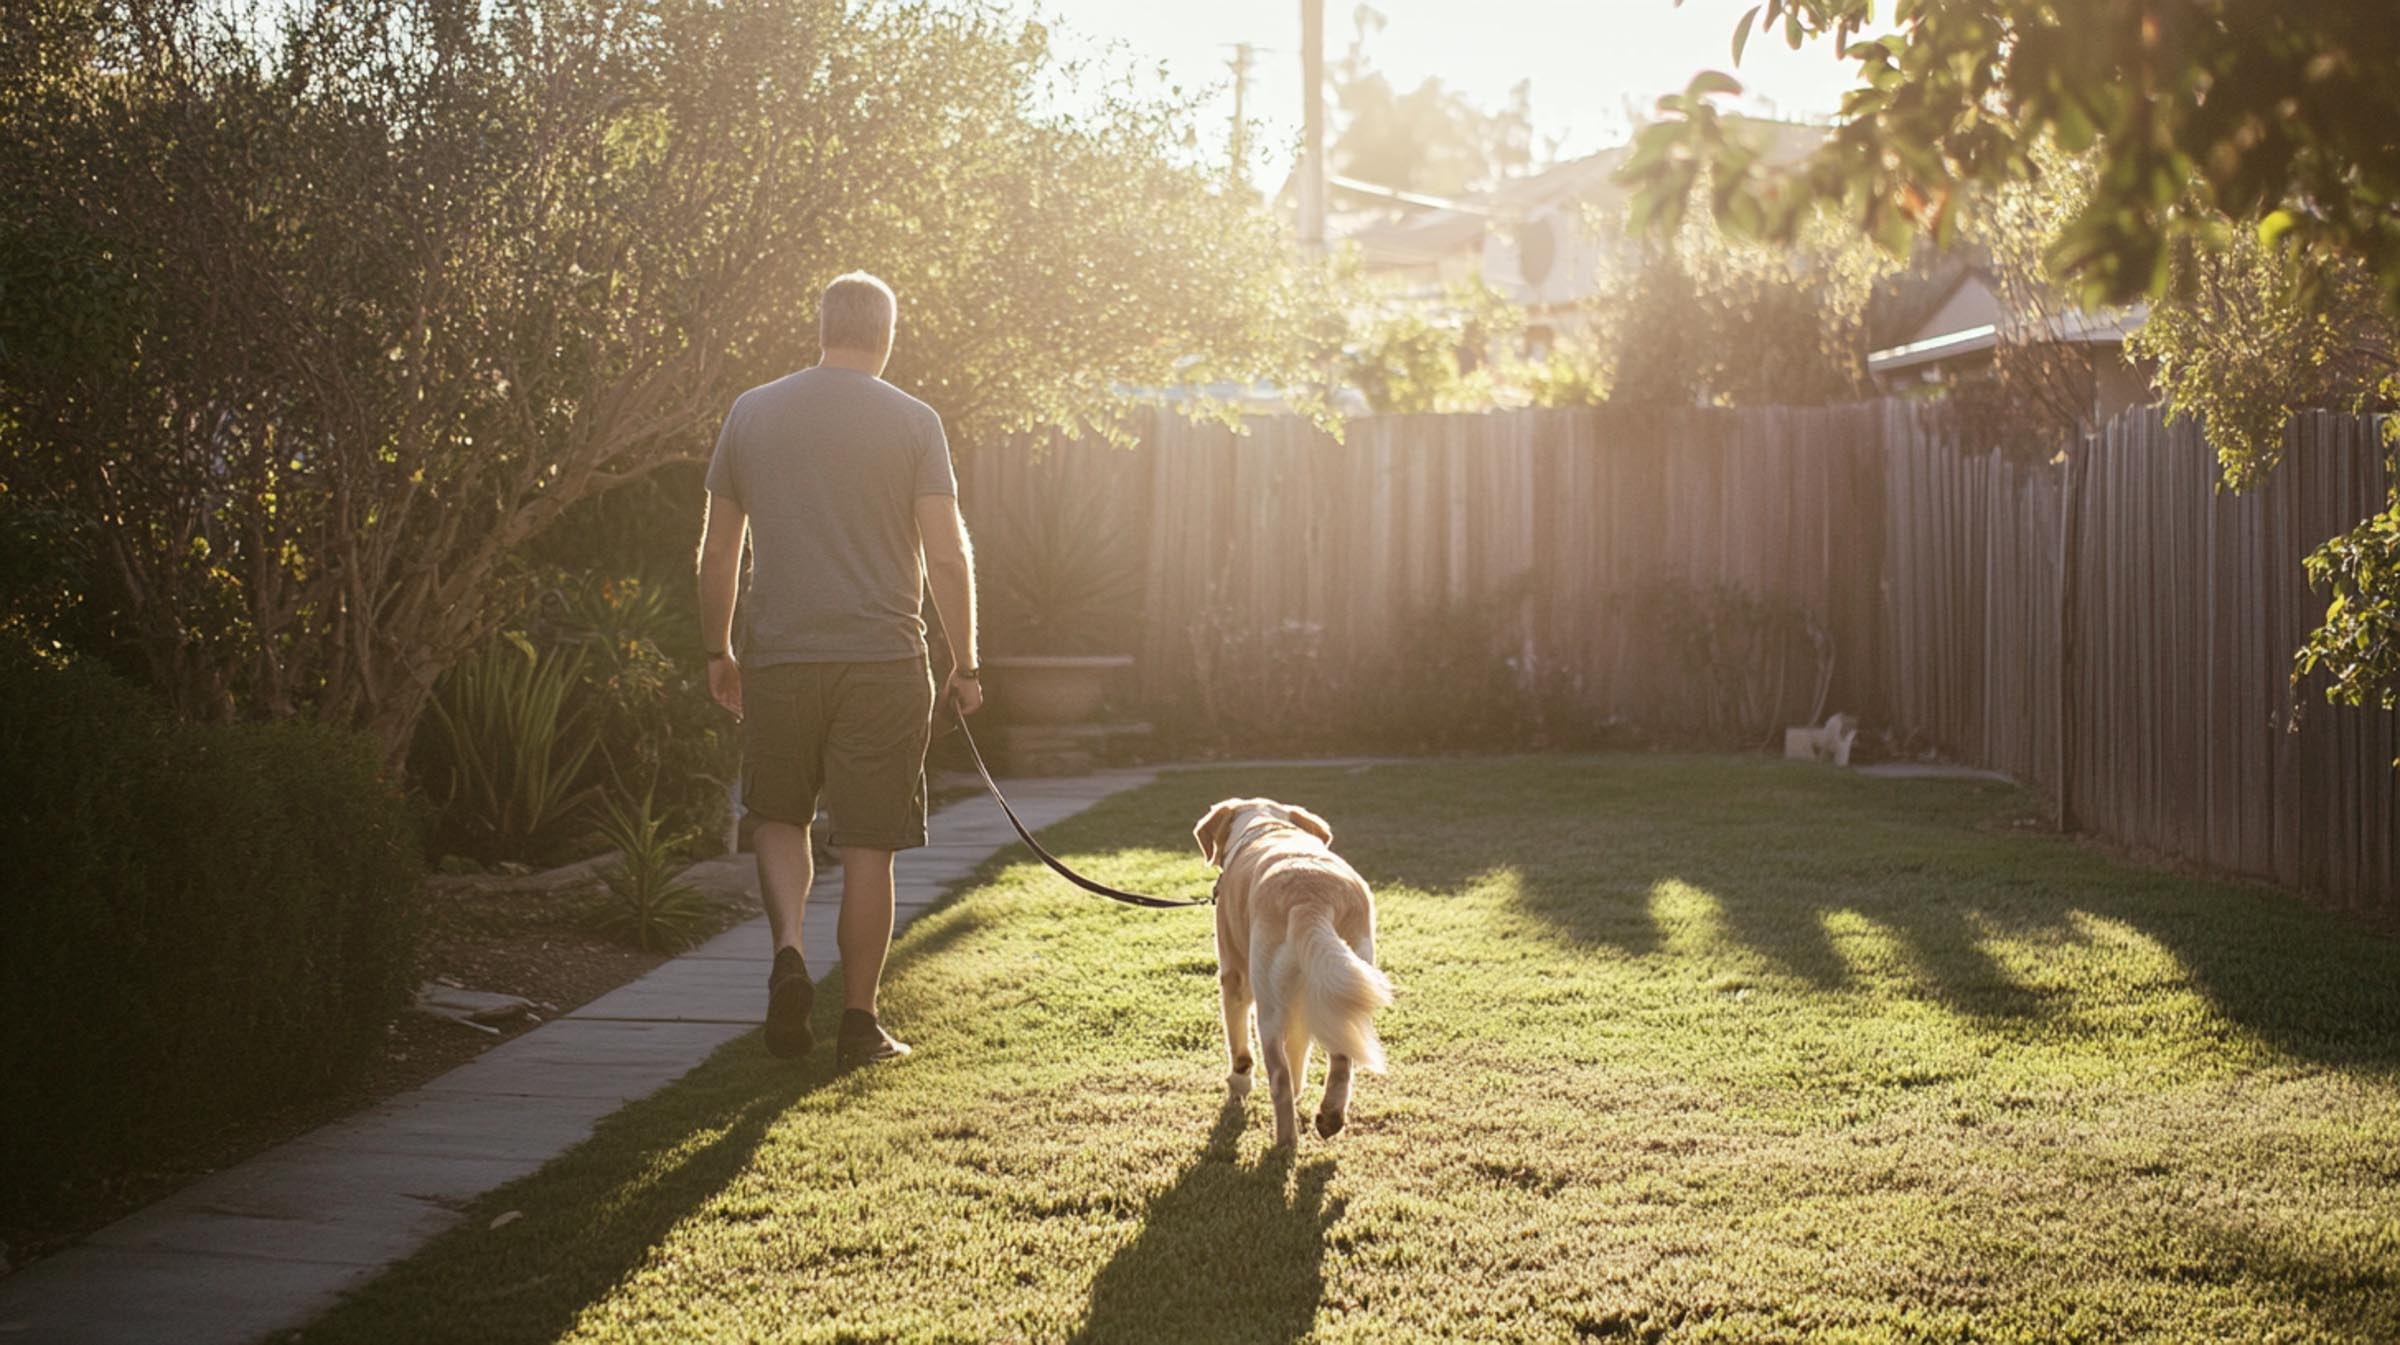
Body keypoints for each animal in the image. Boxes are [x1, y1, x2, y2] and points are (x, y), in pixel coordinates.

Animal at [1195, 797, 1401, 1143]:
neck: (1265, 826)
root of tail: (1309, 899)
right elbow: (1299, 1054)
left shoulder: (1234, 976)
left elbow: (1241, 1048)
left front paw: (1239, 1084)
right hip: (1341, 981)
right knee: (1341, 1058)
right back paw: (1330, 1117)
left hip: (1269, 1006)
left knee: (1278, 1078)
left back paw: (1284, 1143)